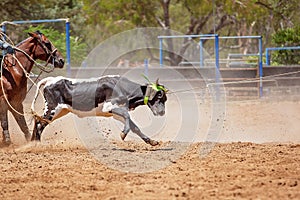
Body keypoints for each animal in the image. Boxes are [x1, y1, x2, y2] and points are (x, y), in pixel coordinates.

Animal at [31, 75, 168, 145]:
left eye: (165, 99)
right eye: (158, 97)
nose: (162, 112)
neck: (121, 87)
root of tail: (51, 79)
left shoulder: (117, 112)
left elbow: (135, 127)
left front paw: (151, 141)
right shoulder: (109, 107)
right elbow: (128, 117)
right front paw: (123, 134)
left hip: (61, 111)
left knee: (38, 122)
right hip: (53, 109)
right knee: (39, 123)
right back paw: (35, 144)